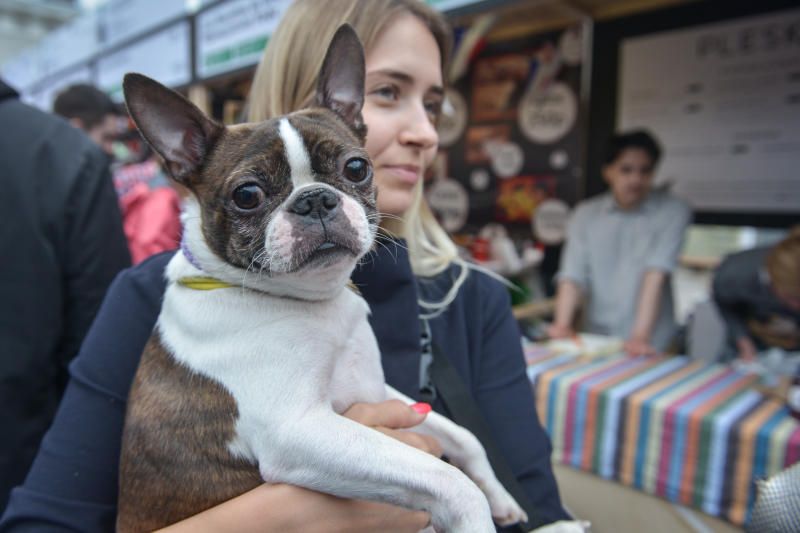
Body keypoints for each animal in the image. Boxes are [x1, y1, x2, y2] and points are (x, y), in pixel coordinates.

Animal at [114, 25, 524, 532]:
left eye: (356, 168)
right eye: (247, 195)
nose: (314, 200)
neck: (313, 302)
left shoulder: (379, 392)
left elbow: (463, 435)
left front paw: (501, 496)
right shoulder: (299, 430)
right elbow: (446, 478)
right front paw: (477, 512)